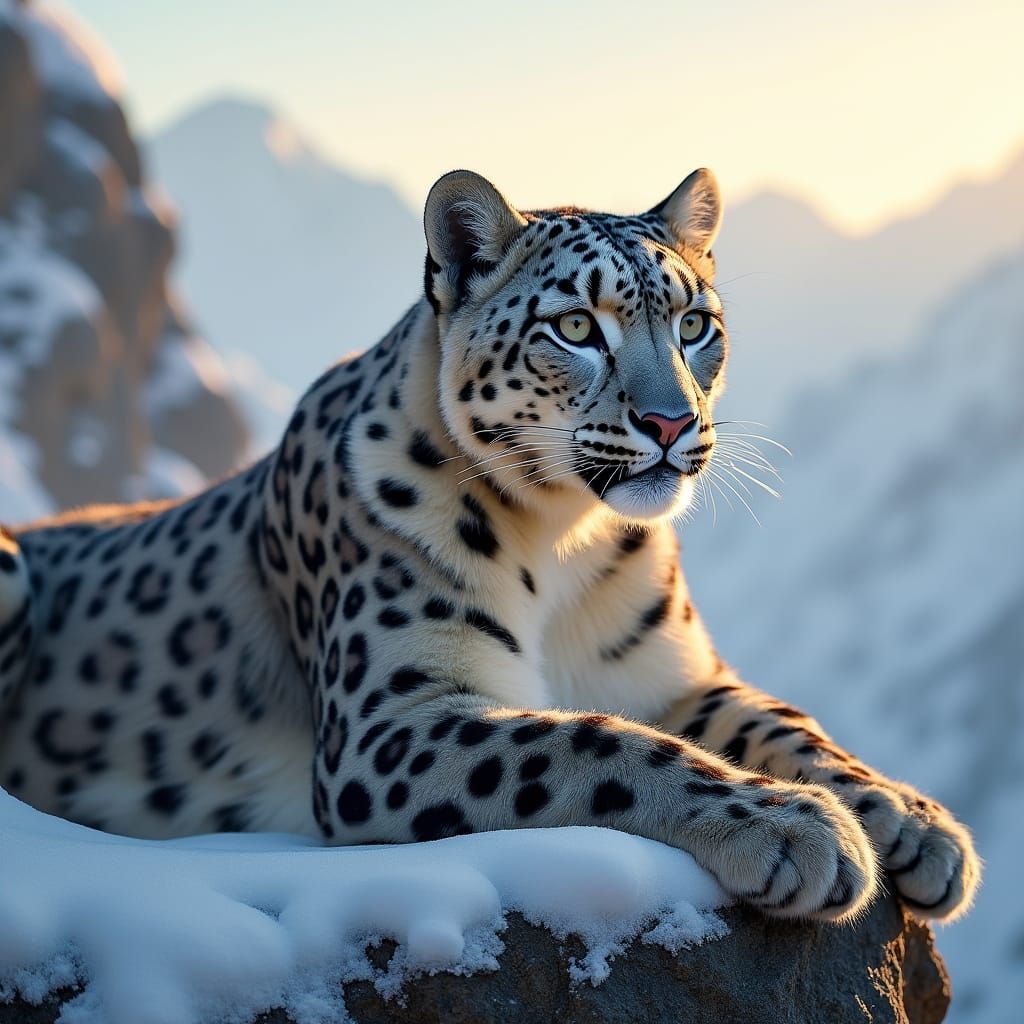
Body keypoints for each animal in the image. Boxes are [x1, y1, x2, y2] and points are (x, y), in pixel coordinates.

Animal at [0, 168, 979, 924]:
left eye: (694, 324)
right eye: (577, 327)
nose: (671, 423)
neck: (567, 542)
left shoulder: (673, 676)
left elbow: (783, 721)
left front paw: (912, 821)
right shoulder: (391, 722)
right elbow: (592, 746)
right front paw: (795, 830)